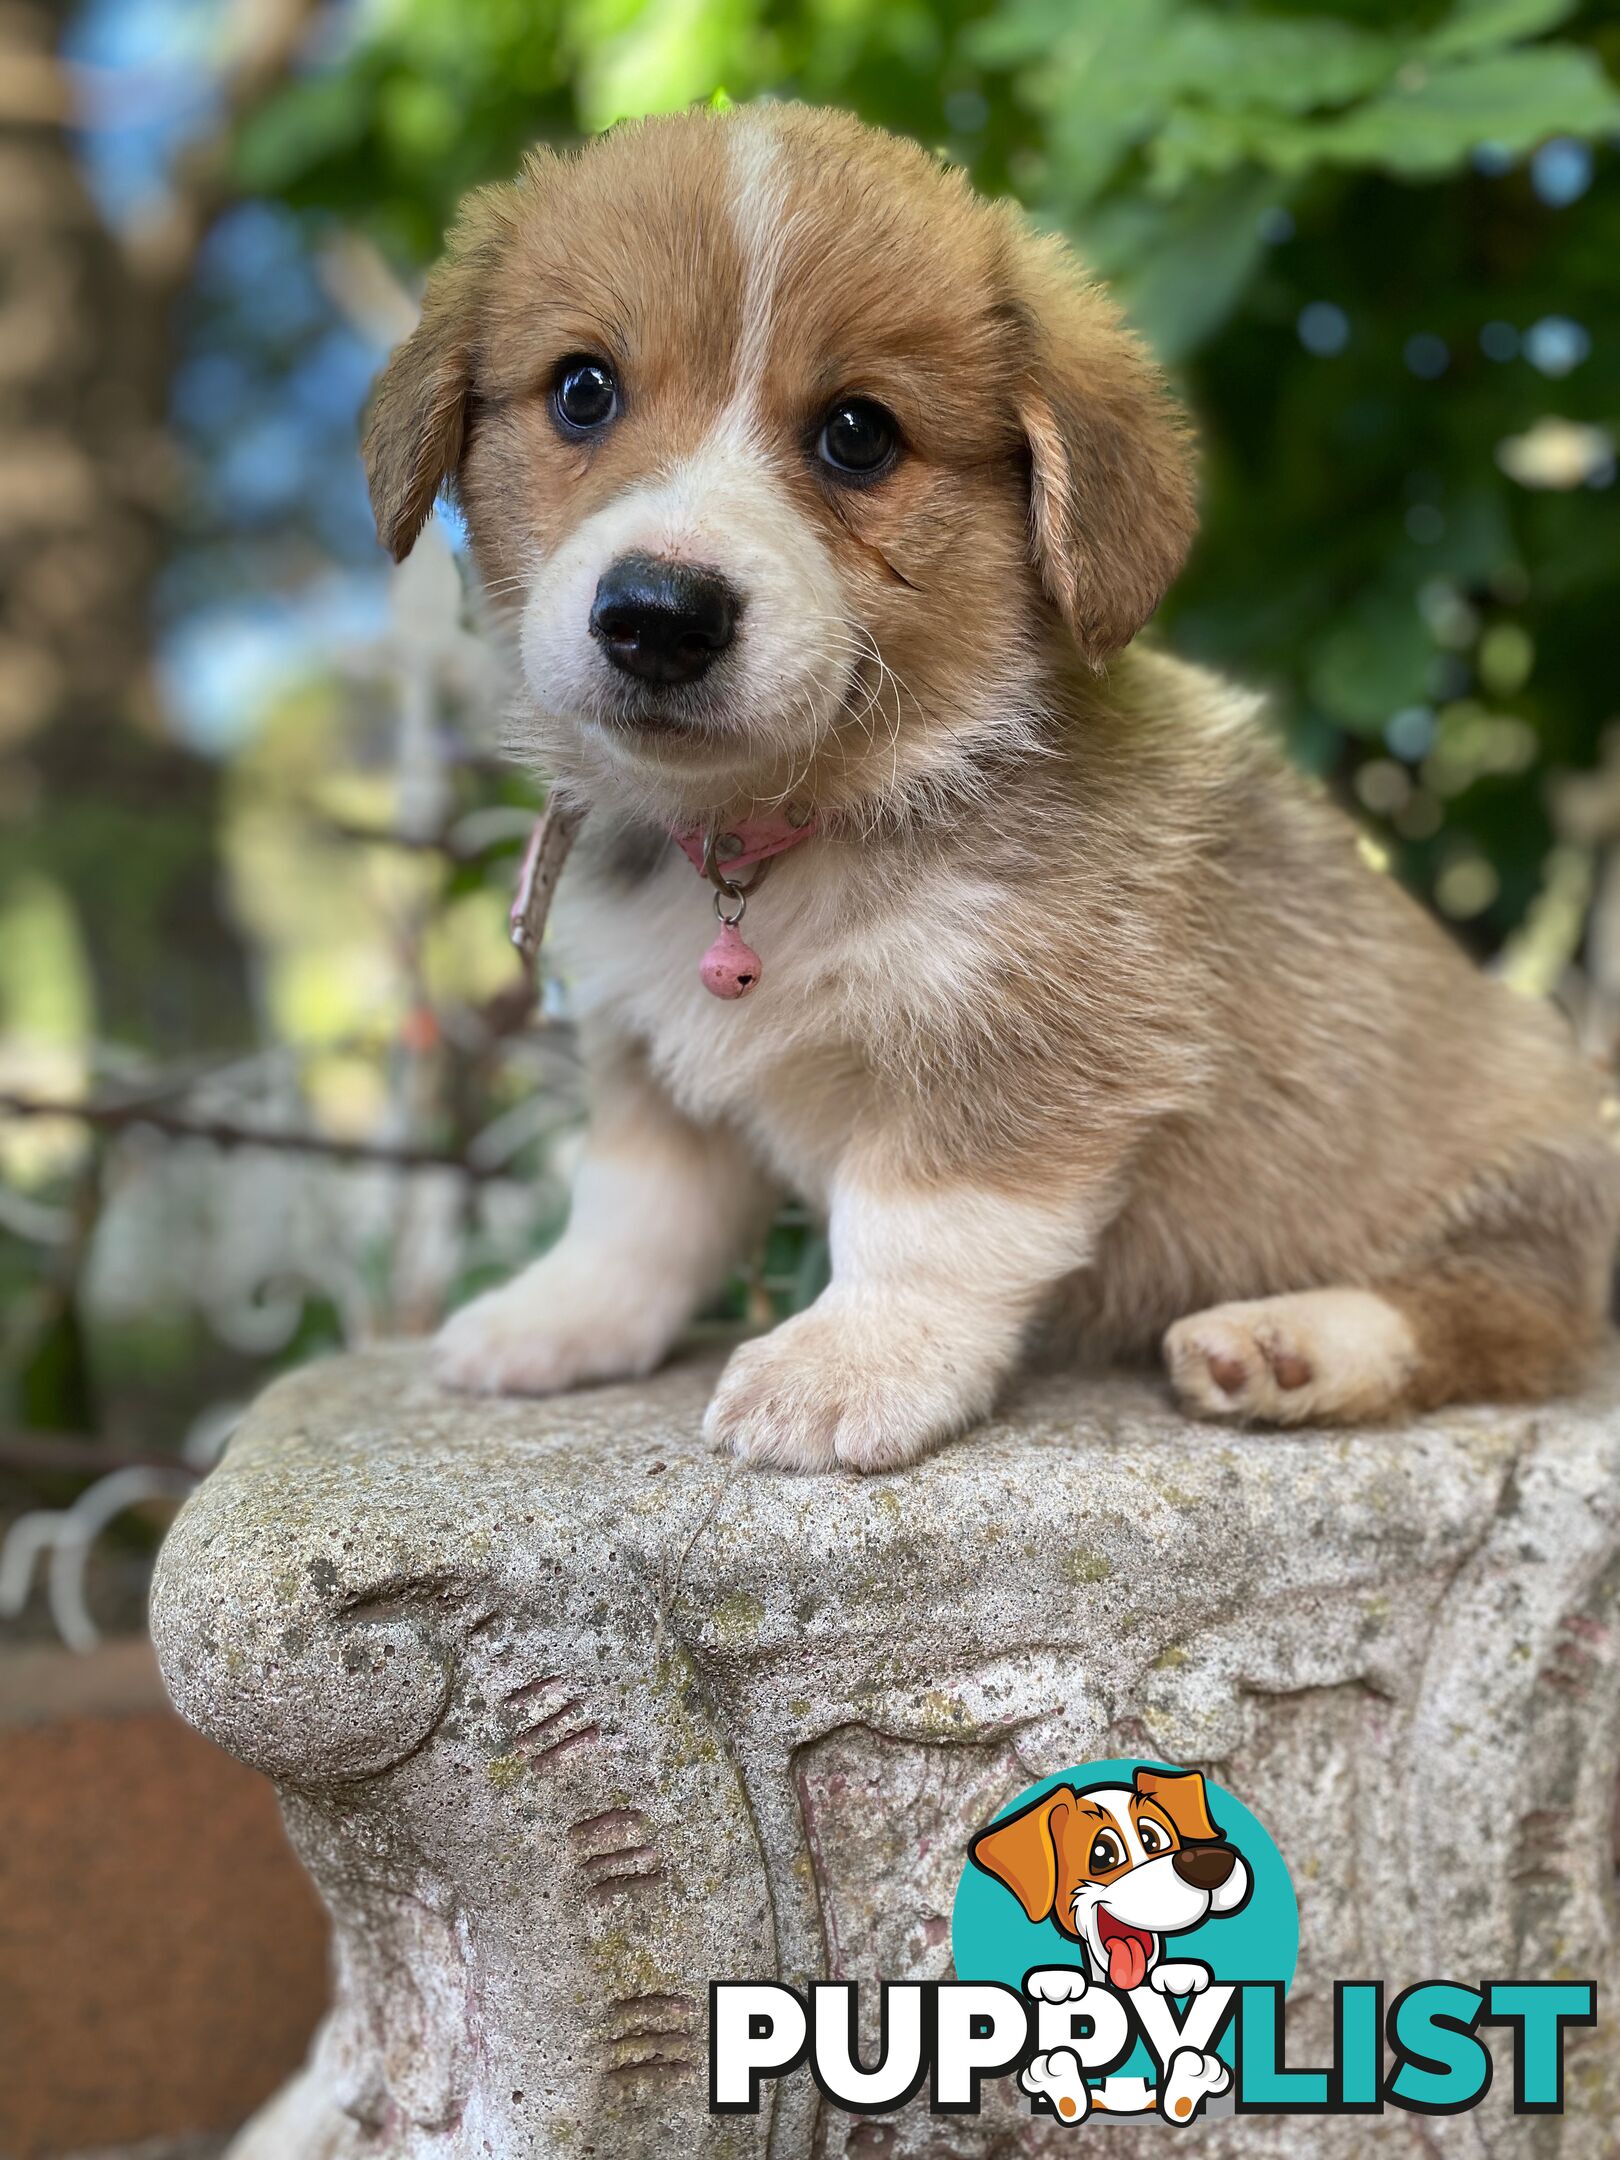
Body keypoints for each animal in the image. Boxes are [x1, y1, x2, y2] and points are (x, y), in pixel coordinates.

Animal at [367, 101, 1620, 1468]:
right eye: (582, 390)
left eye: (859, 434)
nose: (659, 617)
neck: (780, 835)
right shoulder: (649, 1054)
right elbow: (633, 1209)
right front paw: (558, 1319)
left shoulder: (1024, 1044)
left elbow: (919, 1223)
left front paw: (850, 1364)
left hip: (1533, 1179)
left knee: (1497, 1318)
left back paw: (1291, 1342)